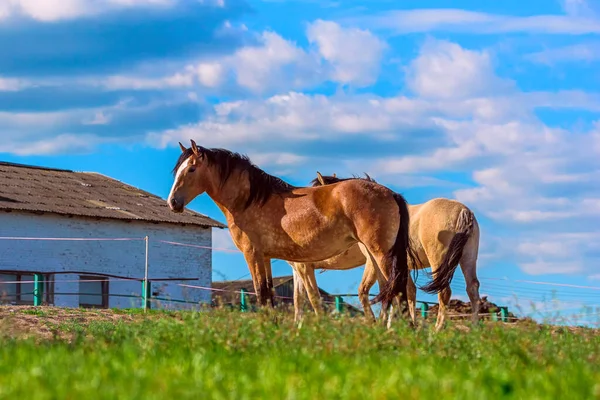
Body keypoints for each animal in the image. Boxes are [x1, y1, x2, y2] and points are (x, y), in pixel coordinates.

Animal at [166, 141, 424, 312]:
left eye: (191, 169)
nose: (173, 202)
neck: (250, 199)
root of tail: (390, 193)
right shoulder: (267, 258)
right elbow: (271, 295)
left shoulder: (253, 255)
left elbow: (262, 294)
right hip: (375, 257)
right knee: (392, 293)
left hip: (381, 255)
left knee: (399, 293)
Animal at [290, 172, 482, 332]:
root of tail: (463, 210)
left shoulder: (373, 260)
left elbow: (369, 291)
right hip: (467, 258)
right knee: (472, 289)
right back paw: (473, 329)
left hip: (438, 260)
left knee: (445, 292)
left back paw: (438, 329)